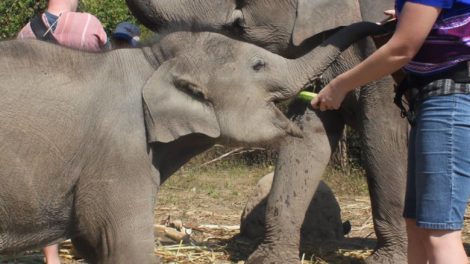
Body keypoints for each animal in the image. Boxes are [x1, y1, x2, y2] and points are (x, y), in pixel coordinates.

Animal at [0, 23, 382, 262]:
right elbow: (121, 242)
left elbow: (91, 246)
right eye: (258, 65)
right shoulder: (120, 153)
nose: (382, 23)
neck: (152, 61)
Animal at [126, 0, 410, 264]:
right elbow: (308, 136)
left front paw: (388, 260)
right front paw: (269, 258)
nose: (385, 23)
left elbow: (385, 133)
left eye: (237, 23)